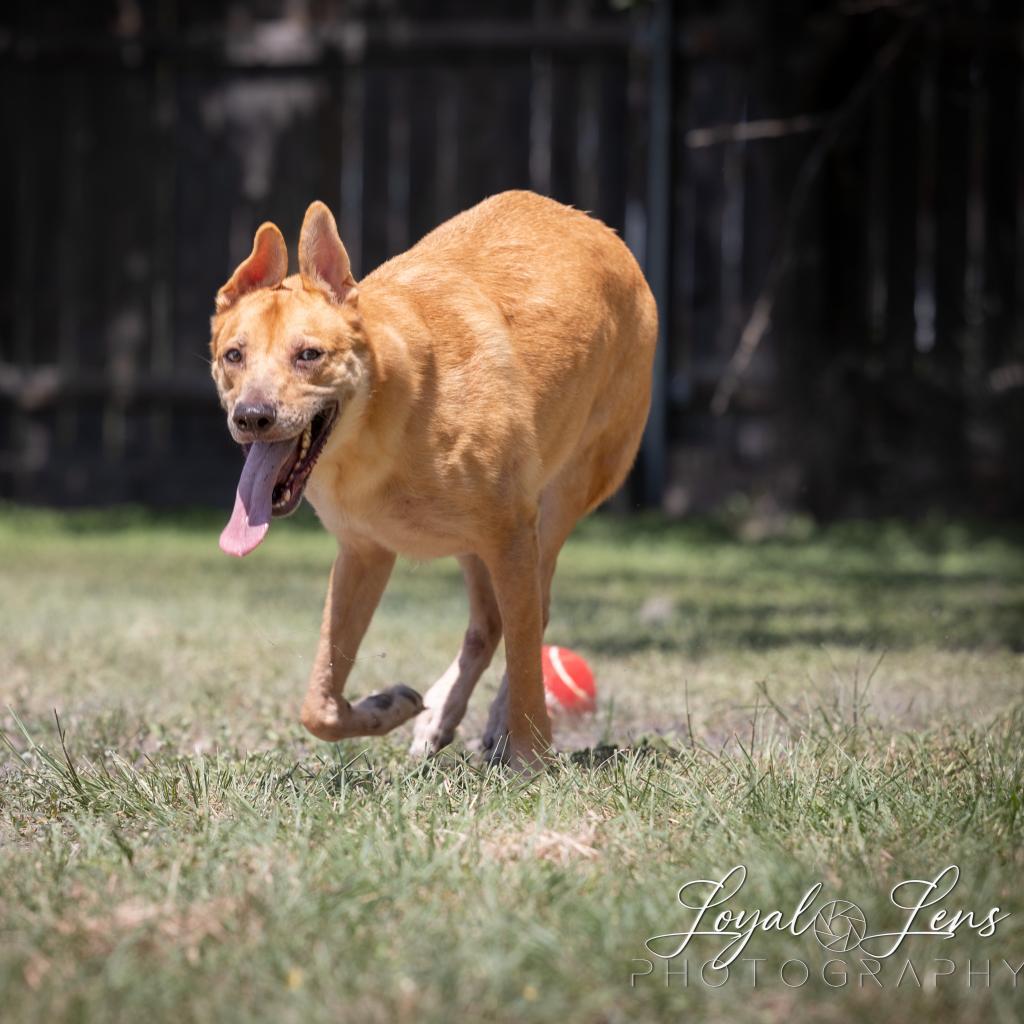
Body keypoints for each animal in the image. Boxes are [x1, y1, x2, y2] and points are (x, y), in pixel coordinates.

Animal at [208, 192, 655, 770]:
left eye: (309, 355)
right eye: (233, 355)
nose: (253, 416)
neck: (380, 421)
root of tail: (604, 231)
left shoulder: (511, 533)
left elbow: (526, 653)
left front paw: (529, 757)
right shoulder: (364, 553)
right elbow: (319, 705)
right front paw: (385, 707)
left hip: (558, 502)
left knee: (533, 616)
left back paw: (498, 724)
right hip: (475, 547)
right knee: (489, 625)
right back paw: (441, 714)